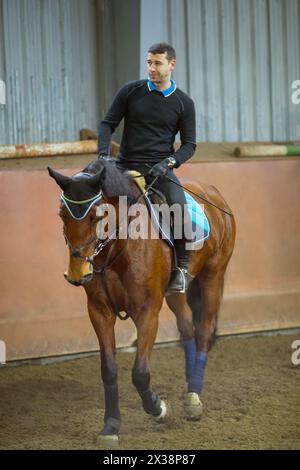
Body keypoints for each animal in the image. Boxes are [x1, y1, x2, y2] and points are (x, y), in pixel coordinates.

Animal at [48, 158, 237, 444]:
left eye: (97, 216)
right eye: (62, 215)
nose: (77, 273)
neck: (118, 249)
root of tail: (214, 193)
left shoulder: (148, 311)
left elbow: (139, 373)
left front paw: (158, 408)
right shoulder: (99, 311)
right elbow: (109, 370)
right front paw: (111, 426)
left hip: (213, 276)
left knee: (204, 331)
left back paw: (194, 396)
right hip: (175, 293)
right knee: (187, 329)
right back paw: (189, 383)